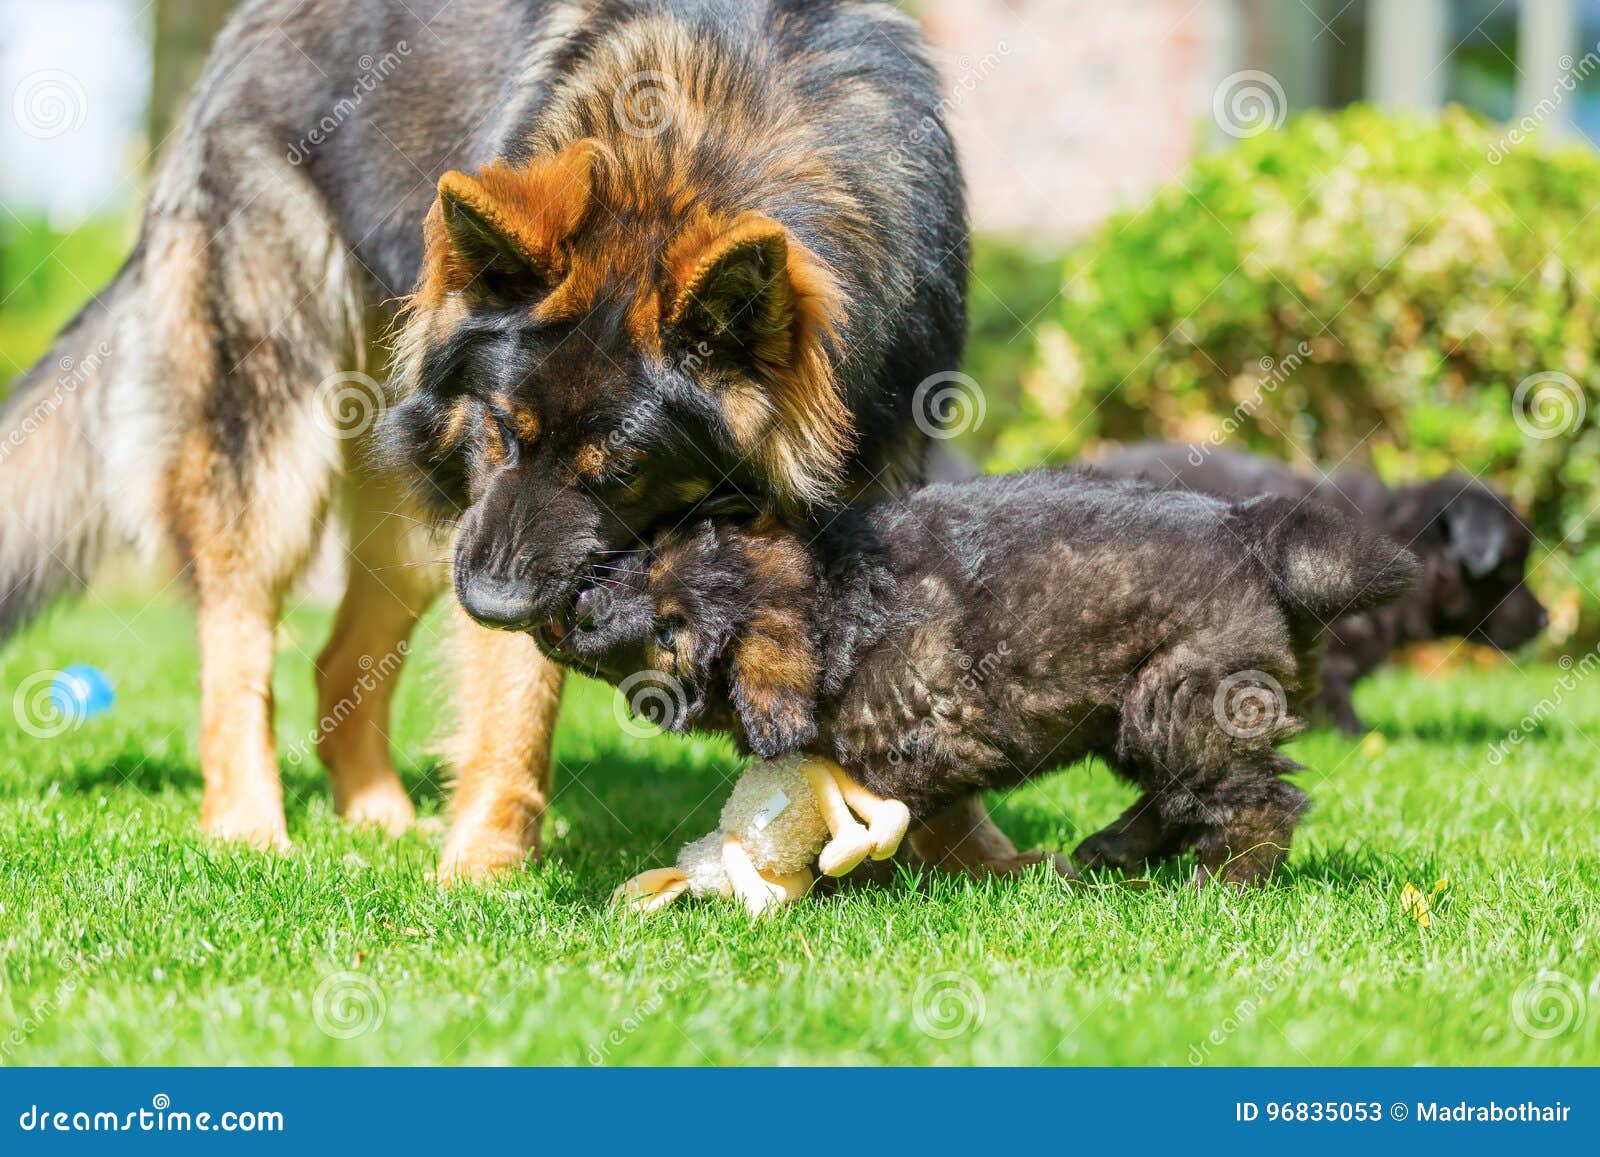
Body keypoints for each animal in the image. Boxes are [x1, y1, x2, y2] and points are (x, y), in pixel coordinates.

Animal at [0, 0, 1024, 876]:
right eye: (501, 432)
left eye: (622, 469)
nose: (490, 600)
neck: (711, 138)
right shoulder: (500, 526)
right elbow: (516, 704)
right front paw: (485, 866)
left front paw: (975, 854)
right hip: (298, 452)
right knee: (239, 626)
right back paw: (250, 827)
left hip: (421, 517)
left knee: (340, 661)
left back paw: (378, 821)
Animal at [544, 470, 1420, 889]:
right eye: (647, 561)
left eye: (670, 634)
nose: (579, 604)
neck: (836, 612)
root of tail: (1255, 534)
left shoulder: (920, 751)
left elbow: (889, 823)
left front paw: (844, 884)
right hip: (1136, 711)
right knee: (1177, 797)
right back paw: (1114, 849)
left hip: (1183, 699)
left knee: (1257, 800)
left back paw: (1223, 886)